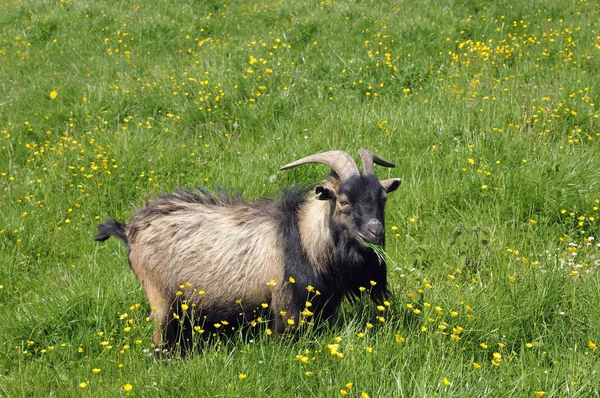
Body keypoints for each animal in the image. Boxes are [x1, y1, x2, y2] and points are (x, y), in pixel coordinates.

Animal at [96, 149, 400, 348]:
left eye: (383, 198)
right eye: (344, 201)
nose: (375, 230)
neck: (304, 238)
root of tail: (129, 230)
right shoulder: (286, 306)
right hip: (160, 298)